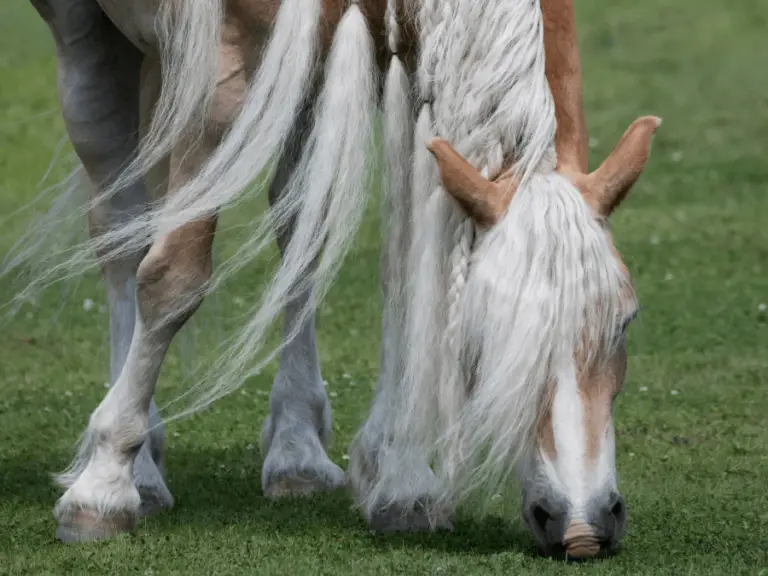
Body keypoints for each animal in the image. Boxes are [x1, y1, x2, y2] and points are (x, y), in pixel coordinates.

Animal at [13, 0, 656, 560]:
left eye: (626, 321)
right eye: (482, 336)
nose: (582, 524)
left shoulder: (400, 56)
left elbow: (401, 264)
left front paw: (401, 482)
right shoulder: (215, 66)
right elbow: (172, 276)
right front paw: (101, 489)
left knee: (296, 220)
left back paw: (294, 450)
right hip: (93, 41)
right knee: (120, 228)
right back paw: (139, 468)